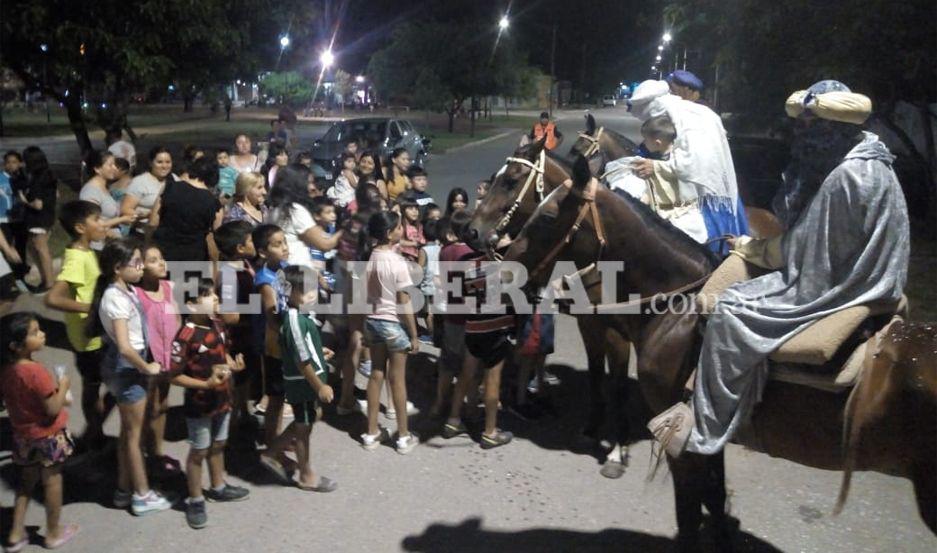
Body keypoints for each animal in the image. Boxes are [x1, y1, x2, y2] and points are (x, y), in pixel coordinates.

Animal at [468, 139, 636, 474]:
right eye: (494, 177)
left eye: (511, 180)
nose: (472, 232)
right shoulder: (589, 323)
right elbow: (596, 372)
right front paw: (592, 428)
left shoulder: (618, 334)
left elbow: (619, 383)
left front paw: (616, 450)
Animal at [504, 154, 936, 548]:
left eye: (546, 216)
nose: (505, 262)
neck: (675, 307)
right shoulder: (710, 432)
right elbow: (713, 496)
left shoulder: (678, 432)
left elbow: (689, 511)